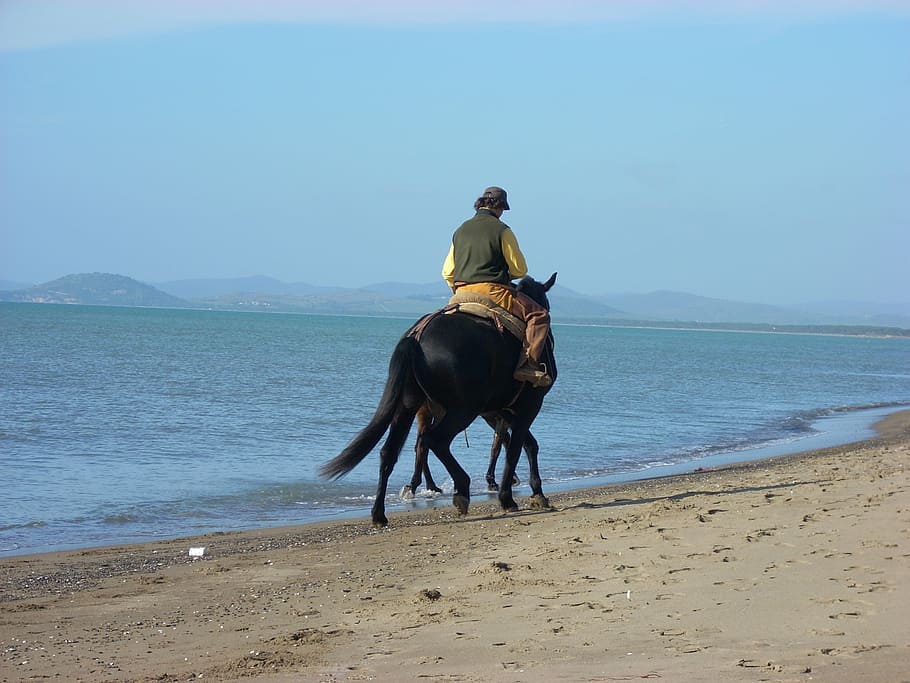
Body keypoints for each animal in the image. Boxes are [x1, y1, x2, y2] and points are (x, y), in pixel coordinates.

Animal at [321, 273, 557, 526]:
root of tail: (416, 337)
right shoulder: (527, 407)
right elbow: (515, 449)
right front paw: (509, 498)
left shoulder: (505, 411)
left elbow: (525, 445)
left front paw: (536, 493)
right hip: (462, 410)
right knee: (434, 441)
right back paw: (460, 489)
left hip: (410, 406)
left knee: (392, 451)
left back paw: (380, 513)